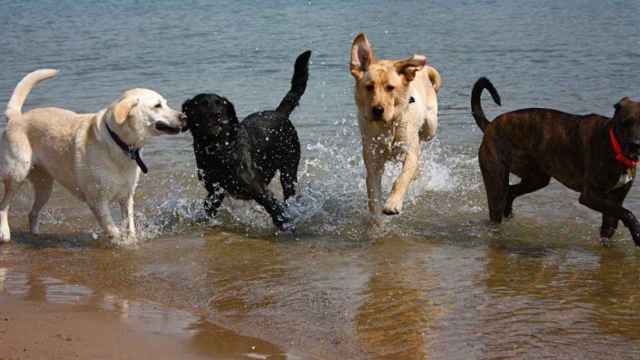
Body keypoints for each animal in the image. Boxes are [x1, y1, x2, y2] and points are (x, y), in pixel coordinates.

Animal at [0, 69, 185, 245]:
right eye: (157, 105)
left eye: (166, 103)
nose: (184, 116)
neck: (119, 143)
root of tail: (16, 117)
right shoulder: (97, 201)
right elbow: (112, 229)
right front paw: (121, 243)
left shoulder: (126, 197)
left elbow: (129, 226)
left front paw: (131, 240)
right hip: (17, 174)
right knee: (4, 205)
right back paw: (5, 233)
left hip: (45, 186)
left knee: (32, 212)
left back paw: (35, 234)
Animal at [181, 50, 312, 231]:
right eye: (202, 103)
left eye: (221, 104)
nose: (218, 115)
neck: (220, 149)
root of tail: (279, 113)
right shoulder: (215, 191)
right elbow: (208, 208)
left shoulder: (259, 189)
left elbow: (276, 211)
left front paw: (287, 227)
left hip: (289, 170)